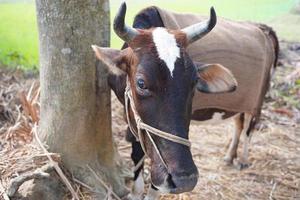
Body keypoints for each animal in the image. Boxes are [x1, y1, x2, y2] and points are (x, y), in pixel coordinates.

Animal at [92, 1, 278, 200]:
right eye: (141, 83)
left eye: (195, 81)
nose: (184, 179)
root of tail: (263, 29)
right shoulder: (132, 115)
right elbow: (137, 152)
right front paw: (135, 192)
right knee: (238, 123)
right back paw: (229, 156)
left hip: (258, 100)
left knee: (249, 129)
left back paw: (242, 160)